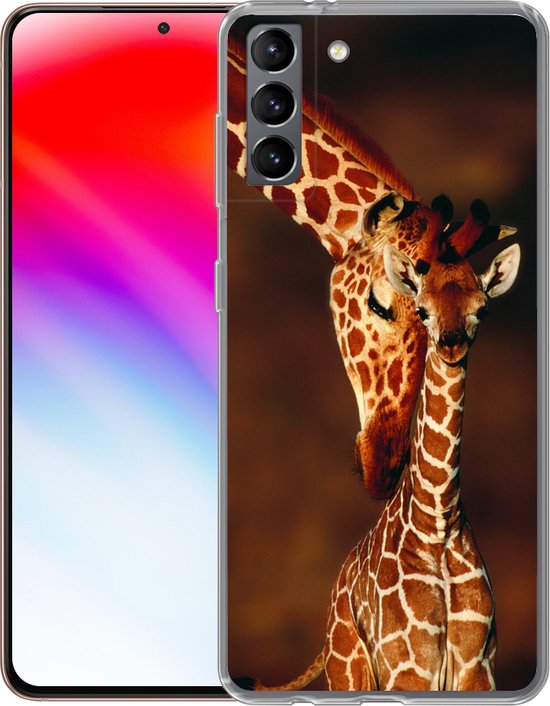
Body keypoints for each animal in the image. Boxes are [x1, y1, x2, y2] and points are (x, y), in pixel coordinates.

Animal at [243, 237, 521, 692]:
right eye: (422, 309)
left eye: (481, 308)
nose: (451, 343)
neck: (438, 521)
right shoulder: (408, 668)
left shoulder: (478, 667)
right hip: (349, 670)